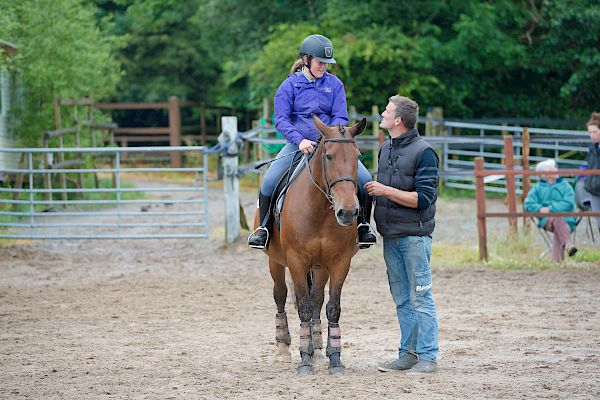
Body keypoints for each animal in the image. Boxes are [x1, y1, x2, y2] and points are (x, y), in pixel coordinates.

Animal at [253, 115, 366, 376]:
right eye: (329, 156)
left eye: (357, 156)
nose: (348, 212)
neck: (320, 210)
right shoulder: (295, 260)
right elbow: (302, 306)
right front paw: (304, 359)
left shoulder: (340, 261)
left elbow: (332, 307)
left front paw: (334, 358)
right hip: (276, 261)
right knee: (281, 295)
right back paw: (283, 348)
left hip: (320, 266)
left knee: (317, 300)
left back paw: (317, 347)